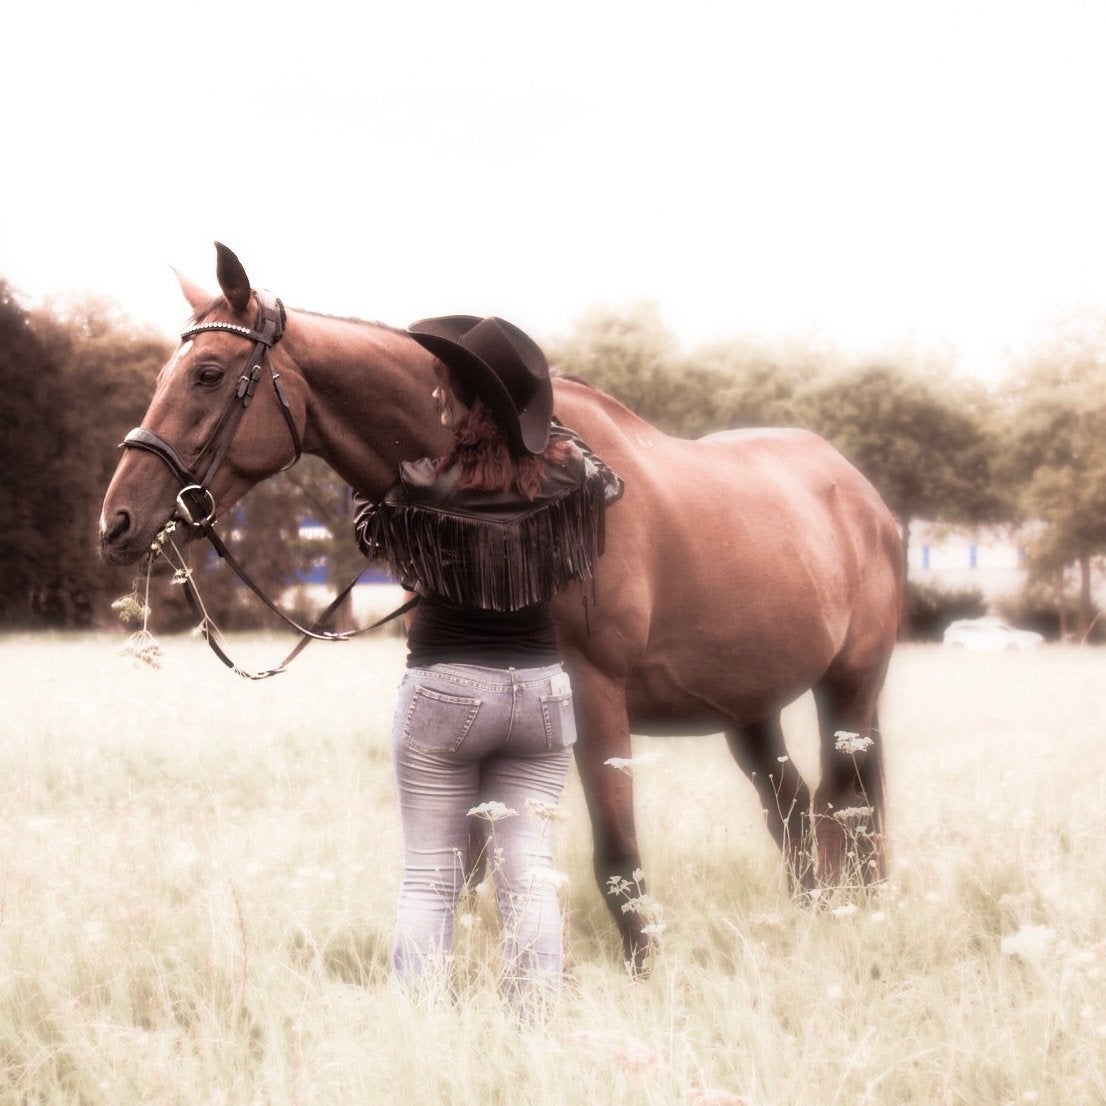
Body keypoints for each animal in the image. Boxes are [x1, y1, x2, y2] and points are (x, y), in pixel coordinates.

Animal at [100, 243, 903, 971]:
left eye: (208, 374)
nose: (118, 522)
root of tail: (863, 494)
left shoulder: (595, 703)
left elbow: (616, 857)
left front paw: (644, 971)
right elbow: (471, 869)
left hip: (850, 691)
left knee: (852, 810)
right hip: (749, 707)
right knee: (796, 813)